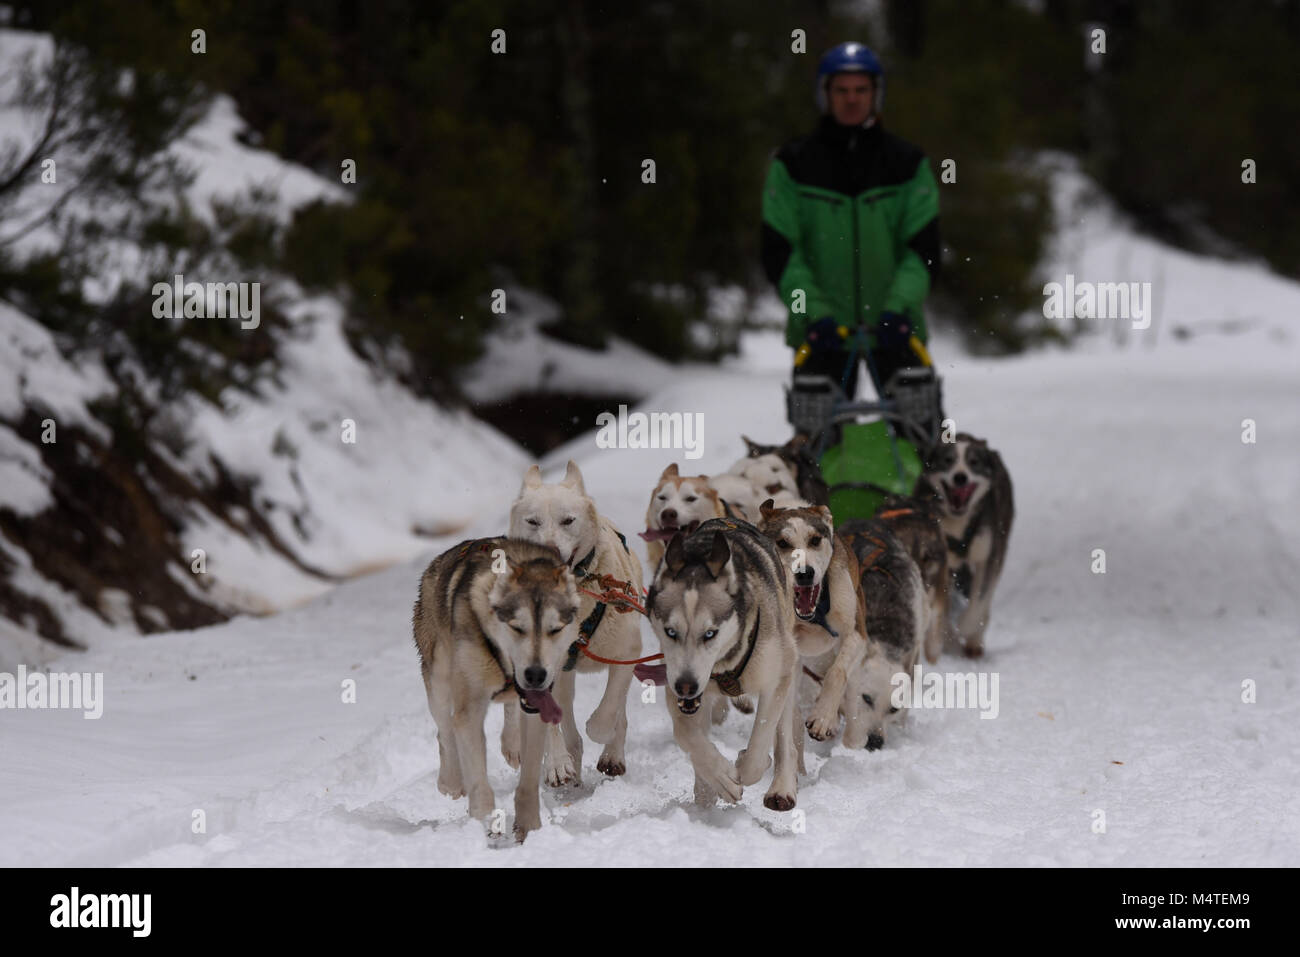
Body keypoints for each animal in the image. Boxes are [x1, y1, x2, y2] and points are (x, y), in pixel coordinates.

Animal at [413, 535, 582, 842]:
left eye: (554, 629)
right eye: (517, 627)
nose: (535, 674)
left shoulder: (538, 703)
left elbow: (528, 780)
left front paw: (530, 830)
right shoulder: (469, 709)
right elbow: (479, 782)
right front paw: (487, 823)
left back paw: (535, 752)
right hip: (438, 675)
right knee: (444, 729)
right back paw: (451, 780)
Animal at [509, 460, 647, 790]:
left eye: (568, 520)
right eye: (532, 521)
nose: (550, 551)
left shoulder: (627, 652)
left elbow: (609, 709)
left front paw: (601, 732)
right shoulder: (537, 668)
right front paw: (557, 763)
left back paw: (610, 753)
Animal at [647, 520, 800, 811]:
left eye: (710, 633)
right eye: (671, 632)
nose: (686, 685)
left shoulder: (775, 678)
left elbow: (759, 745)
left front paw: (747, 765)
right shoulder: (675, 684)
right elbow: (687, 735)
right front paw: (718, 778)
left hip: (787, 661)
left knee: (785, 736)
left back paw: (782, 786)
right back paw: (705, 793)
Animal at [759, 496, 868, 743]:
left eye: (815, 540)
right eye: (782, 543)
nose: (805, 573)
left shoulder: (856, 633)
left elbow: (837, 673)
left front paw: (823, 718)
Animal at [909, 434, 1008, 657]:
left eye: (974, 462)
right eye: (948, 460)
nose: (960, 477)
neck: (958, 523)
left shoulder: (987, 556)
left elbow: (979, 600)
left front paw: (966, 626)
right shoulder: (940, 563)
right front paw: (949, 638)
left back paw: (974, 640)